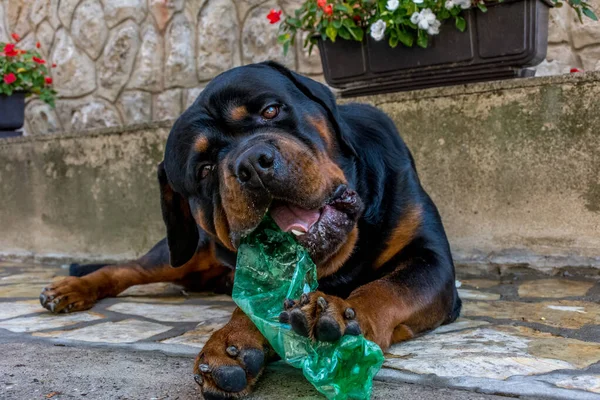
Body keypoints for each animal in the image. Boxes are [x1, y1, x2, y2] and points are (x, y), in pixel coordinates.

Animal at [38, 61, 460, 398]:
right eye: (204, 168)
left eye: (271, 110)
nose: (253, 163)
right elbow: (250, 306)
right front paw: (230, 343)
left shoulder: (432, 261)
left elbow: (386, 289)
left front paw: (340, 317)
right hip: (184, 252)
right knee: (128, 268)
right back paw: (70, 288)